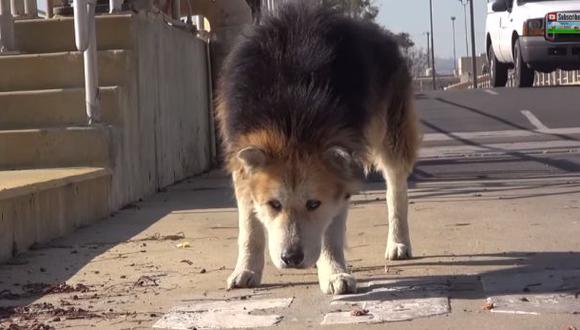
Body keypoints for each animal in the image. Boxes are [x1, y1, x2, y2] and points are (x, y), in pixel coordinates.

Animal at [215, 1, 420, 296]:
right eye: (274, 204)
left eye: (314, 204)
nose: (291, 258)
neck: (292, 117)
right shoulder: (241, 162)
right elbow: (249, 229)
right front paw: (246, 270)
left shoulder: (343, 171)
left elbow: (330, 231)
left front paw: (334, 272)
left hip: (393, 130)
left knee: (396, 187)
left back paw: (398, 242)